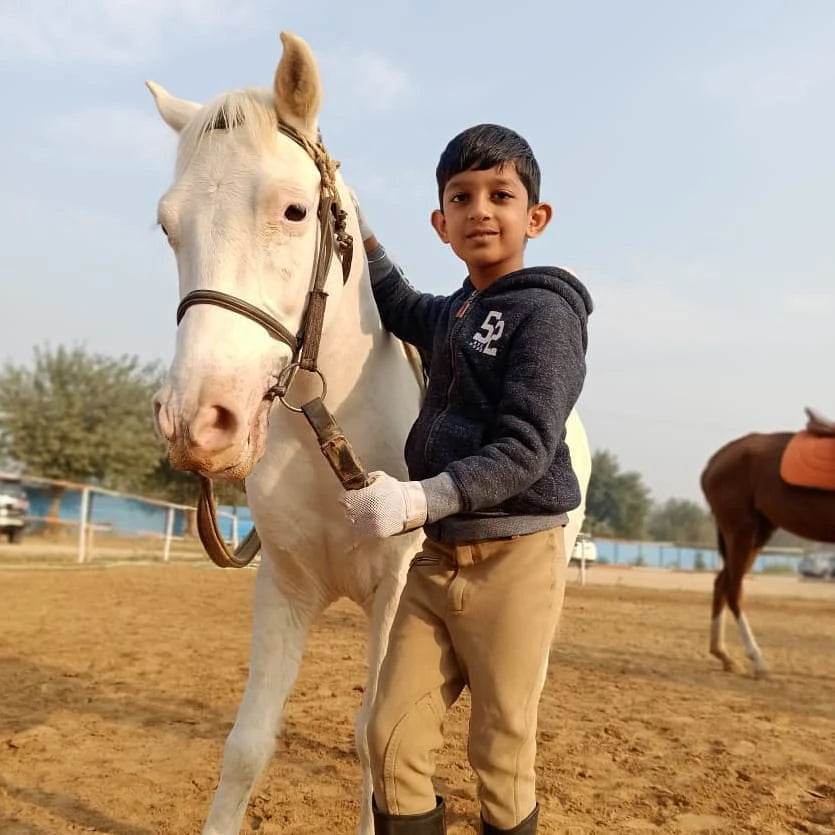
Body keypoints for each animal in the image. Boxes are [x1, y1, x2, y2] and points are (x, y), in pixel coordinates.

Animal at [148, 31, 591, 835]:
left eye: (294, 211)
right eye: (169, 226)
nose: (199, 420)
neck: (329, 439)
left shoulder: (393, 592)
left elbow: (371, 741)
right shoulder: (283, 587)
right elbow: (247, 745)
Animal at [701, 413, 835, 677]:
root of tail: (716, 460)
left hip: (758, 532)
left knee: (721, 584)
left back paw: (724, 655)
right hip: (741, 530)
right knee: (733, 590)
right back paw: (757, 660)